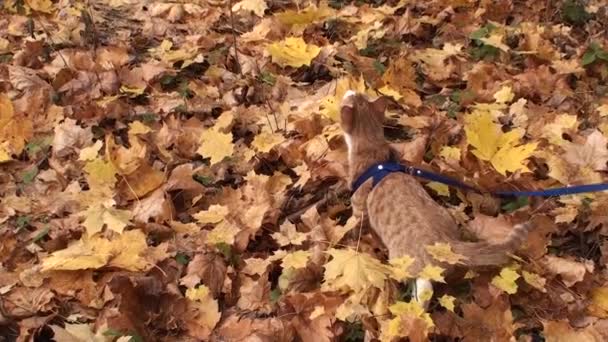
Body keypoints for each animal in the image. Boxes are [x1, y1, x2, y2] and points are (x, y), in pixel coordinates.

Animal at [342, 90, 532, 304]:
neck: (374, 151)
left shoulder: (358, 205)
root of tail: (447, 245)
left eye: (350, 95)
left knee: (423, 291)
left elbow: (355, 225)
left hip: (406, 263)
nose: (349, 90)